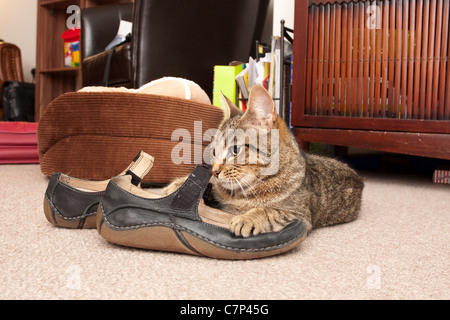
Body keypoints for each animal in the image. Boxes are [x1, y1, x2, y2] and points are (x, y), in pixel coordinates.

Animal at [163, 84, 364, 238]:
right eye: (214, 151)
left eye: (235, 150)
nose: (214, 170)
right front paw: (175, 186)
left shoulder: (299, 216)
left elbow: (270, 211)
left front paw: (248, 218)